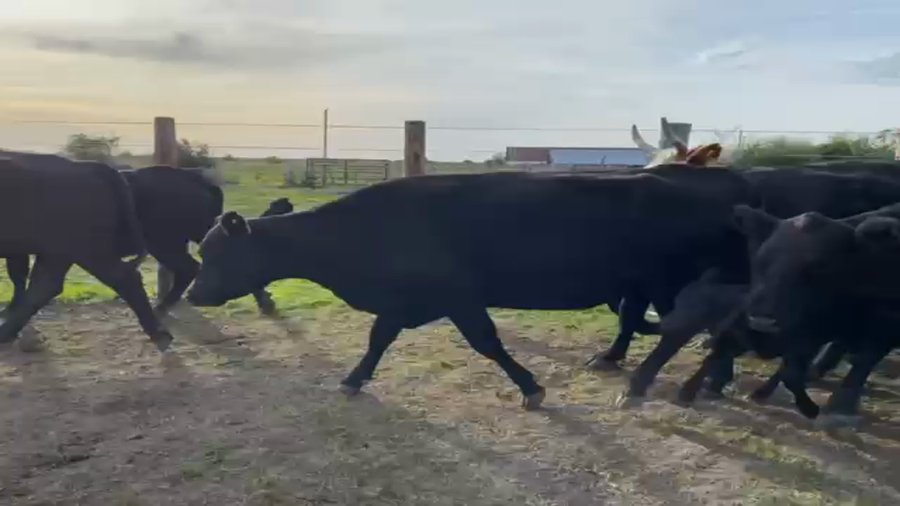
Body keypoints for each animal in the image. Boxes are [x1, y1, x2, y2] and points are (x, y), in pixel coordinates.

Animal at [185, 171, 749, 409]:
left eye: (217, 254)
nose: (191, 295)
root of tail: (717, 202)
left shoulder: (458, 297)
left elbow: (487, 344)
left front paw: (531, 388)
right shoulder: (404, 302)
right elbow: (378, 340)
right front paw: (353, 379)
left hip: (675, 284)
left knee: (688, 331)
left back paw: (651, 385)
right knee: (713, 331)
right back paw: (698, 381)